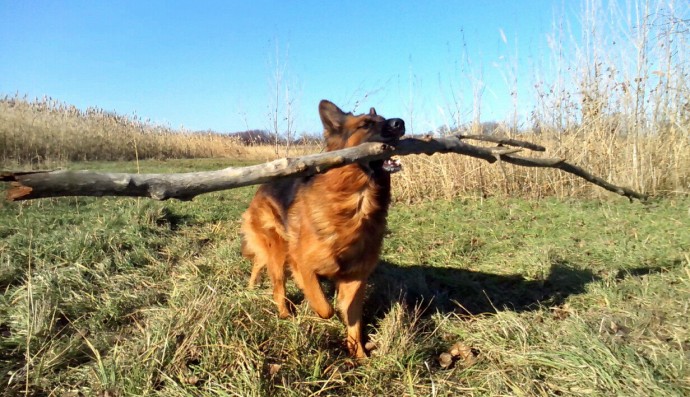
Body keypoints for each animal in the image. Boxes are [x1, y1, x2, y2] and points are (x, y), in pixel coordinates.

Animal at [241, 100, 404, 356]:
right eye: (365, 124)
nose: (400, 123)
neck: (359, 202)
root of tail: (263, 185)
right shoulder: (304, 264)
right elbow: (325, 307)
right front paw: (322, 313)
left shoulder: (356, 277)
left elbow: (353, 319)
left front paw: (359, 354)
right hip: (278, 251)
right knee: (277, 287)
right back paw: (285, 314)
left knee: (260, 264)